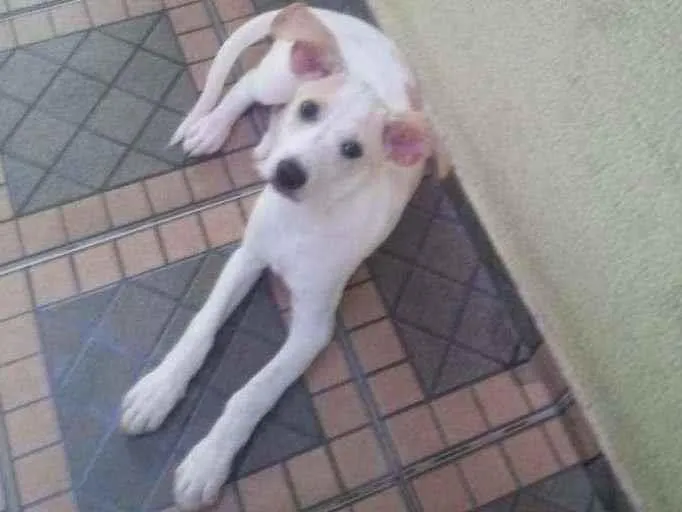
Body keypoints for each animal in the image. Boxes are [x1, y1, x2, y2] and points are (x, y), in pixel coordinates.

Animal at [120, 3, 439, 510]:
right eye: (310, 110)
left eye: (353, 150)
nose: (288, 173)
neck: (301, 220)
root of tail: (338, 18)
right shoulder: (246, 258)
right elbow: (201, 328)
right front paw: (159, 390)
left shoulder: (312, 327)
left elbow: (253, 392)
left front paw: (209, 460)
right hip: (281, 78)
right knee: (247, 87)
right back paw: (214, 128)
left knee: (266, 112)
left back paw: (264, 144)